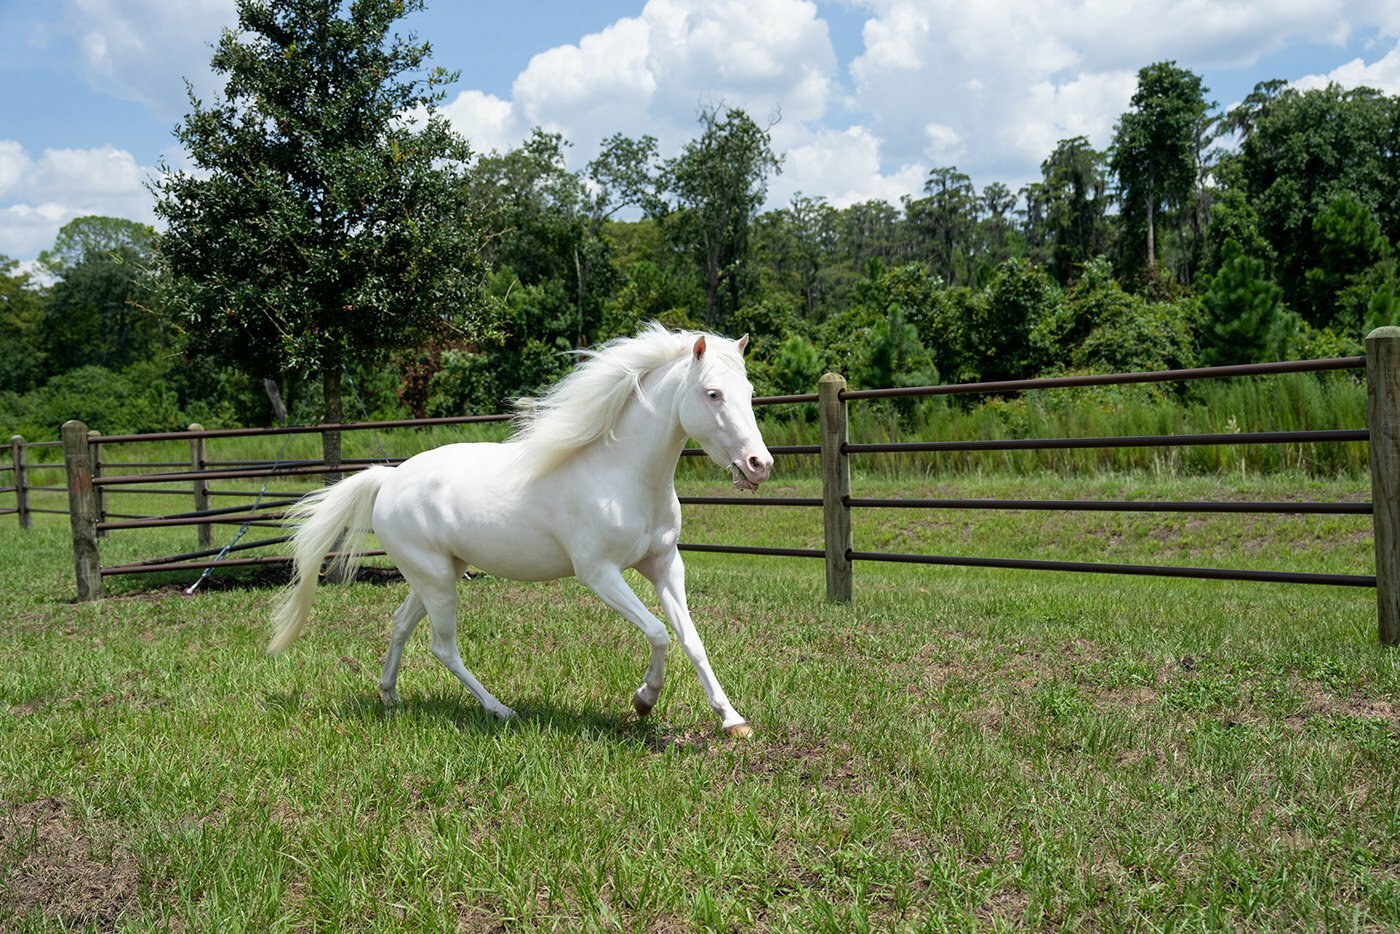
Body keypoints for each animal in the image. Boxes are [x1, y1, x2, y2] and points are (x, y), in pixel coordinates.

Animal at [270, 327, 778, 739]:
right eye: (713, 394)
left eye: (749, 391)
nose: (760, 464)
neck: (623, 474)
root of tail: (387, 479)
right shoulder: (600, 574)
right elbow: (658, 633)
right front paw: (643, 701)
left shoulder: (665, 566)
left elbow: (691, 639)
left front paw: (732, 720)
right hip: (437, 581)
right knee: (442, 647)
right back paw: (501, 710)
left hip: (434, 576)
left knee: (399, 626)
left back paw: (391, 697)